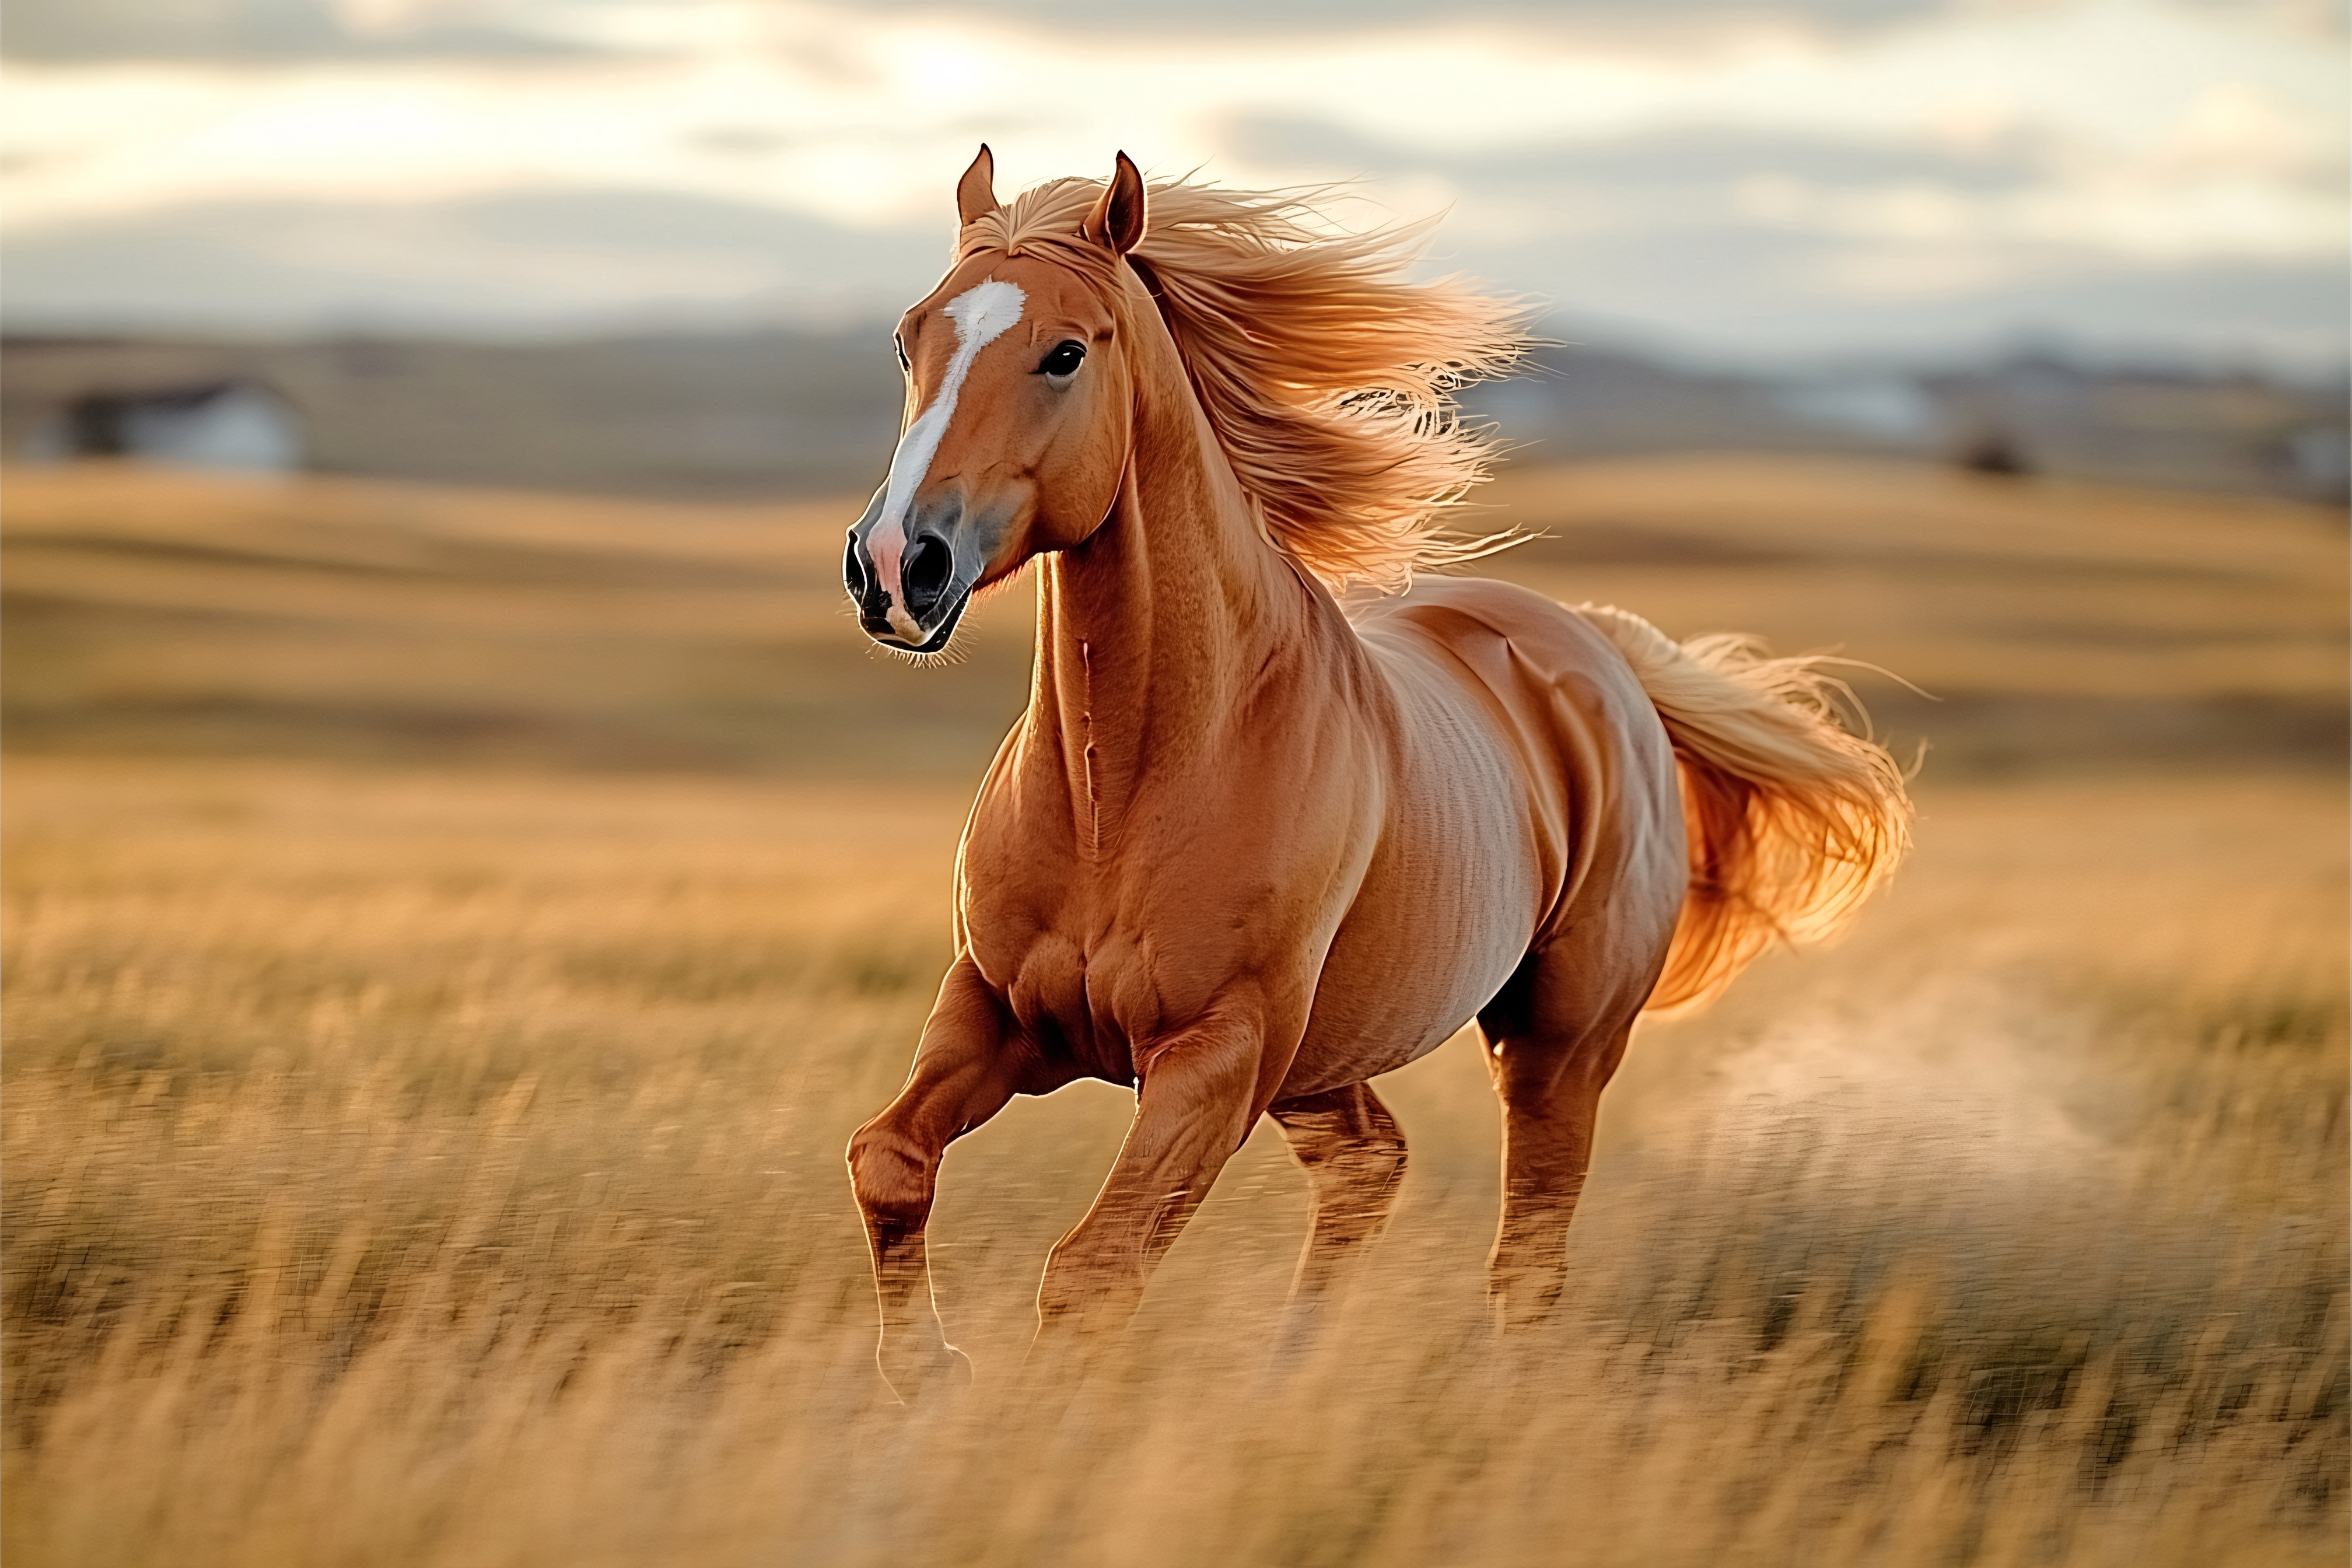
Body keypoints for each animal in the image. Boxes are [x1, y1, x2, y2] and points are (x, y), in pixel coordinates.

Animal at [842, 147, 1912, 1404]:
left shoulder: (1216, 1060)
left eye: (1065, 352)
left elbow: (1091, 1271)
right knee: (1372, 1168)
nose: (896, 566)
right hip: (1330, 1059)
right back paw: (1284, 1383)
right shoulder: (998, 1008)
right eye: (910, 339)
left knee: (1523, 1262)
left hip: (1555, 1051)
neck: (1139, 780)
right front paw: (929, 1371)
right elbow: (889, 1161)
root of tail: (1602, 649)